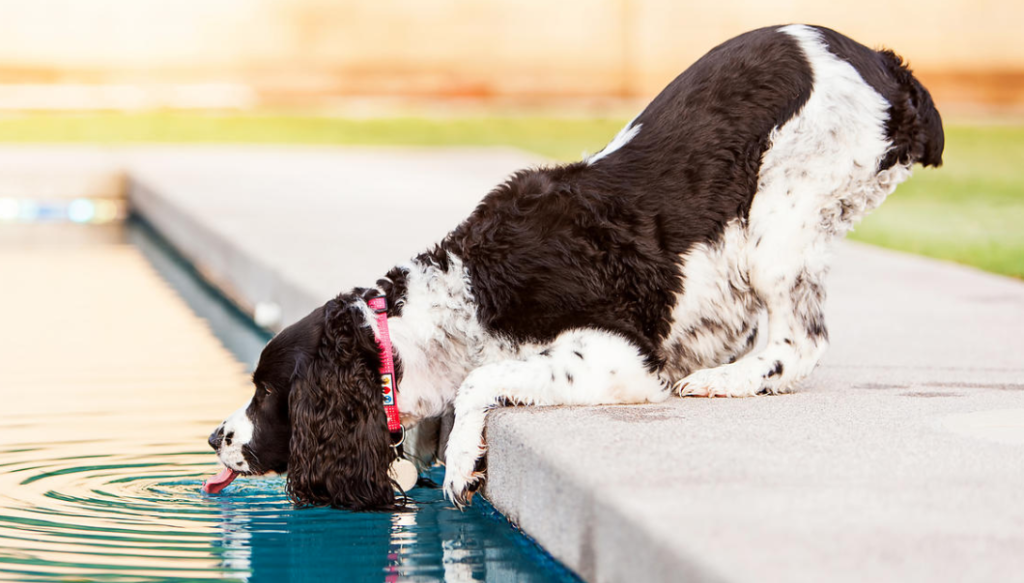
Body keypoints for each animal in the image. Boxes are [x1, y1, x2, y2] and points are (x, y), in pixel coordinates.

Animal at [205, 24, 942, 508]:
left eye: (267, 393)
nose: (215, 434)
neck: (459, 296)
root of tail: (883, 63)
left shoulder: (617, 356)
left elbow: (480, 383)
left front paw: (461, 463)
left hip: (779, 218)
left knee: (800, 340)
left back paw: (726, 379)